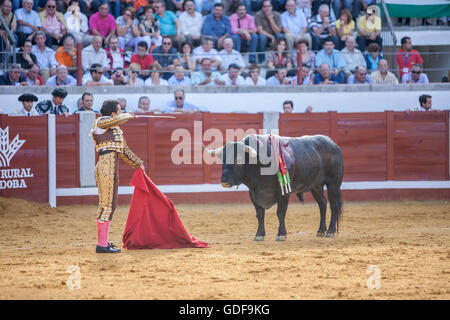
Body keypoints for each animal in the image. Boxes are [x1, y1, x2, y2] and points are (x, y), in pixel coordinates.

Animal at [204, 134, 344, 241]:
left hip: (333, 184)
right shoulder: (254, 194)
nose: (224, 182)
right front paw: (259, 235)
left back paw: (330, 232)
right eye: (222, 160)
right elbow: (260, 214)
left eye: (238, 160)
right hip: (316, 186)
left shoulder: (284, 193)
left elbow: (280, 213)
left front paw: (281, 234)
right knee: (323, 204)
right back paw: (320, 231)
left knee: (334, 206)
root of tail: (334, 145)